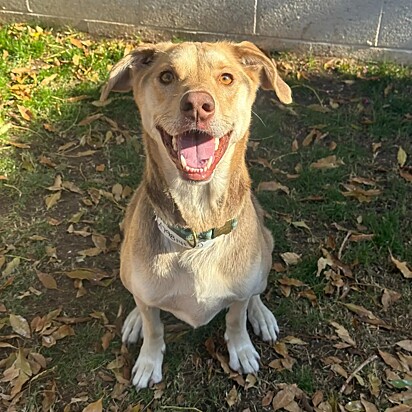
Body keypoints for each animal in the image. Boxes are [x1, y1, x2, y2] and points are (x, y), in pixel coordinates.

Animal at [101, 39, 292, 390]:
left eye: (227, 78)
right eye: (166, 76)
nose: (198, 105)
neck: (197, 228)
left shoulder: (239, 293)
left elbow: (235, 317)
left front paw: (242, 348)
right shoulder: (148, 296)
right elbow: (154, 326)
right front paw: (148, 360)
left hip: (267, 246)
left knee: (256, 290)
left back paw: (261, 314)